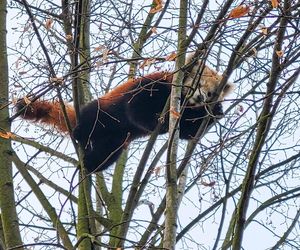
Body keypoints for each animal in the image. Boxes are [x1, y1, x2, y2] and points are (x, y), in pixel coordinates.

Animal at [15, 57, 233, 173]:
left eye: (211, 93)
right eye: (199, 83)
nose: (201, 97)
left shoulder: (187, 113)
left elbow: (189, 133)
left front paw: (216, 112)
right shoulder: (152, 87)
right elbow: (135, 110)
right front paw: (159, 124)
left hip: (116, 141)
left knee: (106, 155)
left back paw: (90, 165)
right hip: (101, 111)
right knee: (90, 120)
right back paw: (79, 132)